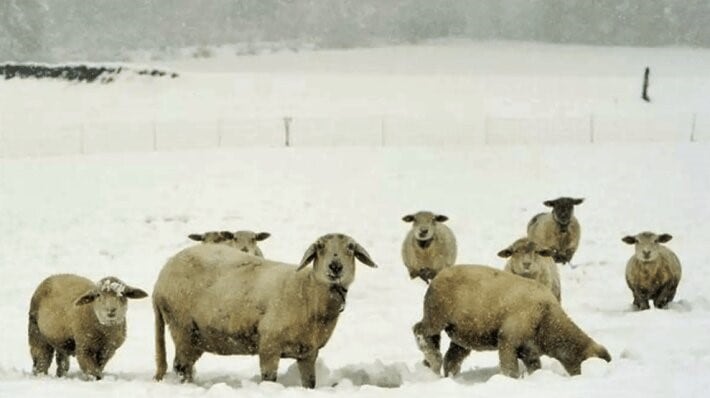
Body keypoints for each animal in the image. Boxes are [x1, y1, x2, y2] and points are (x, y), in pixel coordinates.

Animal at [154, 232, 382, 388]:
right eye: (319, 247)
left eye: (351, 247)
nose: (335, 267)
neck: (308, 291)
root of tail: (161, 277)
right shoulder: (269, 344)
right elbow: (269, 380)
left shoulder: (309, 352)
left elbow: (310, 383)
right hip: (181, 326)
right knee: (181, 367)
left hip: (198, 337)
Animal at [412, 266, 612, 378]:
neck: (548, 319)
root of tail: (437, 276)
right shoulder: (509, 337)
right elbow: (510, 369)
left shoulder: (530, 349)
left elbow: (535, 368)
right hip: (438, 314)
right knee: (420, 330)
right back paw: (433, 357)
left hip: (463, 333)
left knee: (452, 358)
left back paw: (449, 374)